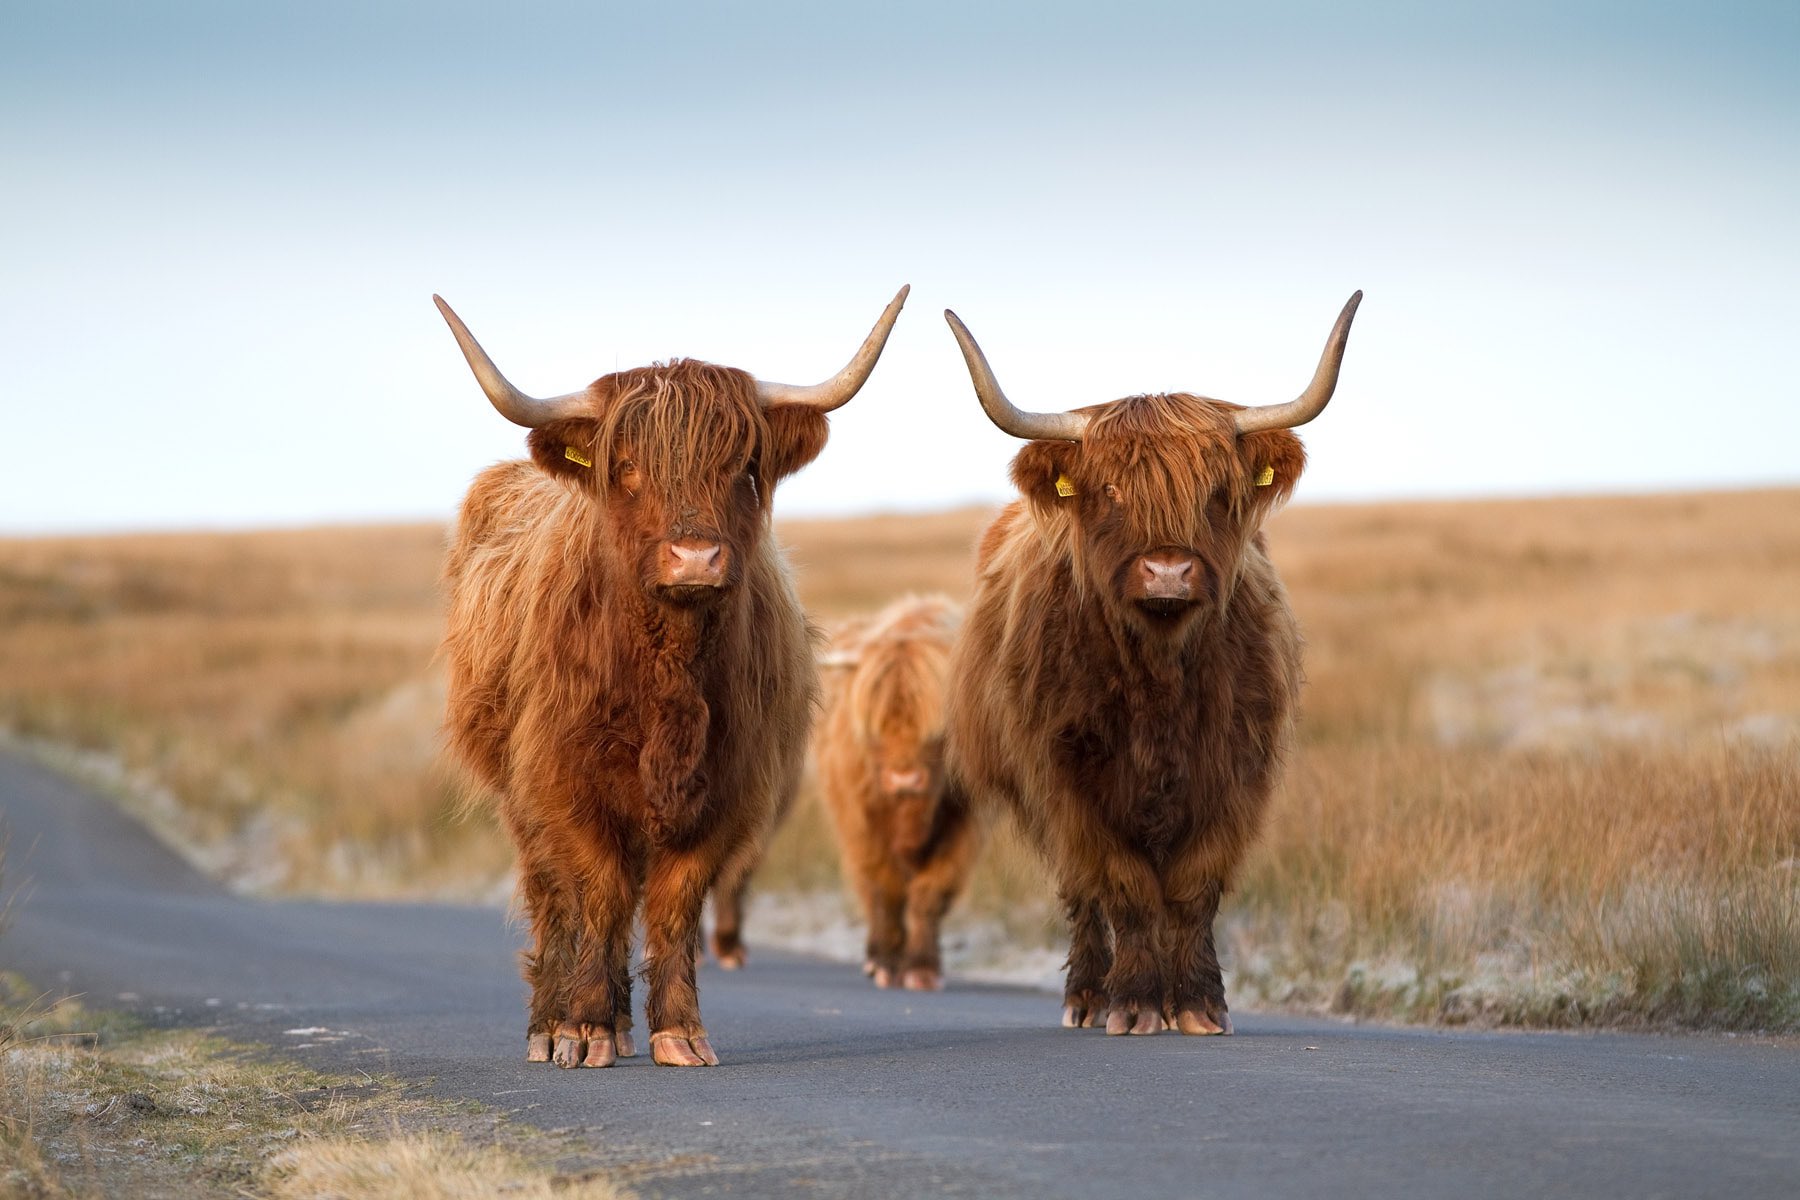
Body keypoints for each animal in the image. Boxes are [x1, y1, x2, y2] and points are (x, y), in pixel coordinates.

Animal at [436, 286, 908, 1068]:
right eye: (627, 465)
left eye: (743, 463)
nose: (694, 558)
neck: (670, 677)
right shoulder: (567, 782)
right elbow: (595, 891)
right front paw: (586, 1029)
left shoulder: (729, 787)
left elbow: (674, 901)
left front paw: (677, 1031)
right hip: (517, 791)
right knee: (553, 897)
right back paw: (550, 1025)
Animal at [815, 595, 977, 991]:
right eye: (875, 727)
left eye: (938, 731)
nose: (904, 779)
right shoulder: (861, 824)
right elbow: (883, 890)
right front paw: (886, 965)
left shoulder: (964, 825)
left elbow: (931, 891)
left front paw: (921, 969)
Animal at [939, 292, 1361, 1036]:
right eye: (1109, 491)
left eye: (1216, 491)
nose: (1167, 570)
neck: (1160, 677)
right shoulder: (1071, 781)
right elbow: (1124, 885)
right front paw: (1133, 1003)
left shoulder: (1234, 774)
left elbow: (1192, 889)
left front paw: (1195, 1002)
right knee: (1080, 894)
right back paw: (1087, 995)